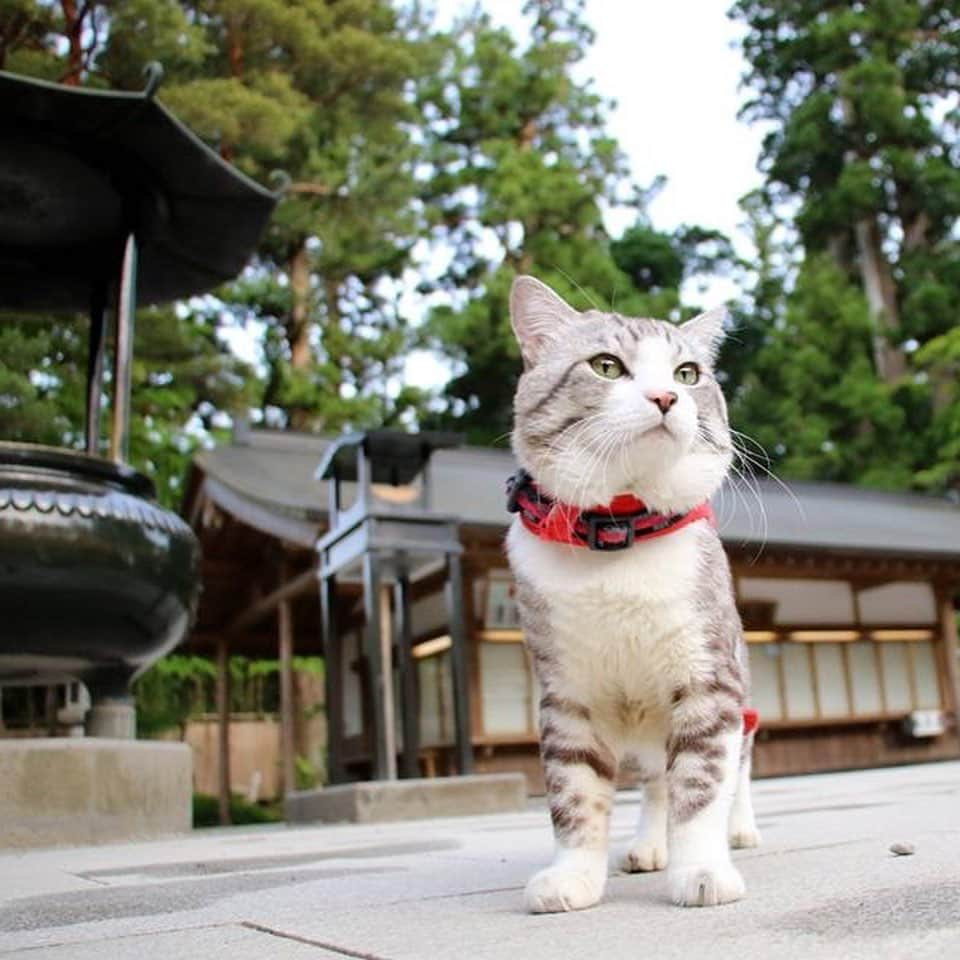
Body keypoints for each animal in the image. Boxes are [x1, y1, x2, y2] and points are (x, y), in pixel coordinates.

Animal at [506, 276, 760, 908]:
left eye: (688, 374)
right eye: (606, 366)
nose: (666, 397)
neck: (620, 531)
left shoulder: (709, 679)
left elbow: (702, 786)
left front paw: (703, 871)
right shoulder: (567, 694)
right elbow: (574, 796)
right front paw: (572, 878)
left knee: (736, 768)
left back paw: (741, 830)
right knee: (655, 784)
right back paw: (648, 847)